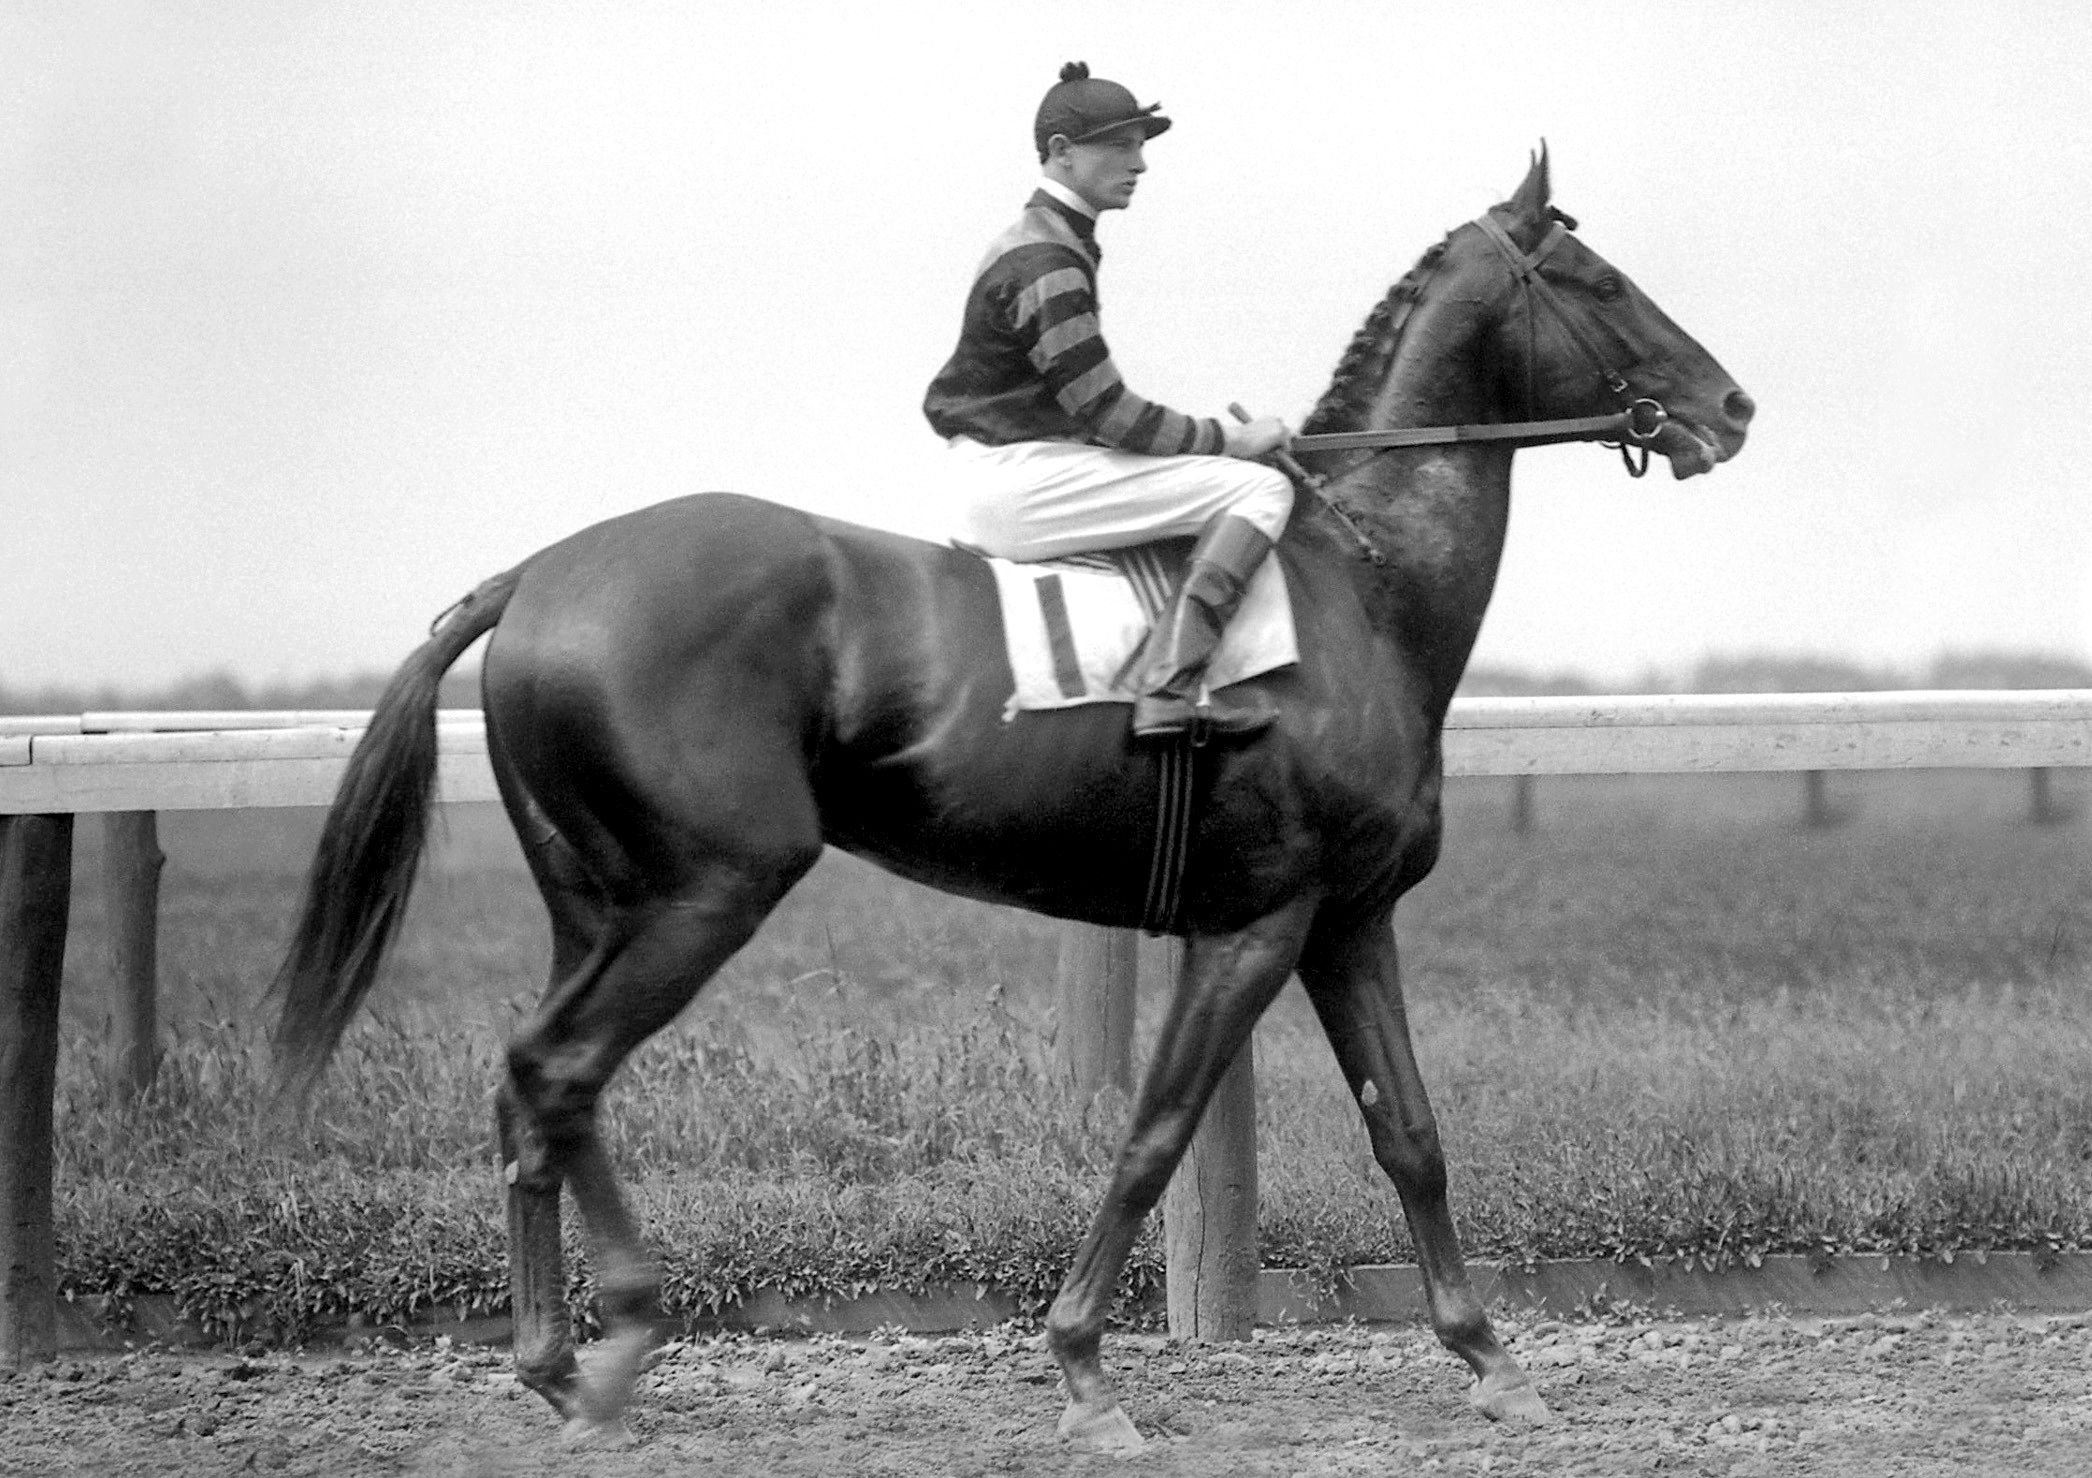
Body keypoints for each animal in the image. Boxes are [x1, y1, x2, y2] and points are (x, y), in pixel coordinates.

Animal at [274, 153, 1748, 1455]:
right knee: (558, 1068)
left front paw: (1495, 1363)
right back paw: (620, 1338)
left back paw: (554, 1361)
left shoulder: (1347, 920)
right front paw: (1088, 1375)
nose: (1731, 406)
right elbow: (1153, 1134)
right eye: (1600, 279)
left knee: (531, 1086)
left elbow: (1414, 1136)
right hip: (705, 892)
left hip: (598, 905)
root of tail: (533, 574)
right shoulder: (1257, 925)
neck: (1362, 591)